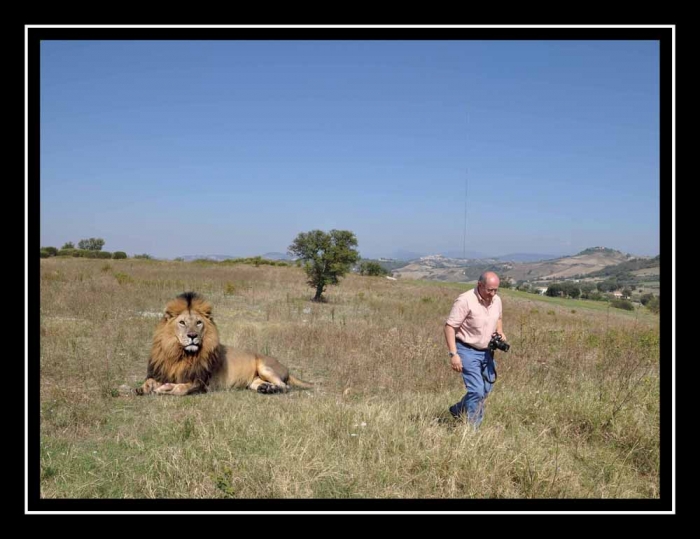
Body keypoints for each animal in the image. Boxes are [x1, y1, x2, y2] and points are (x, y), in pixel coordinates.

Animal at [135, 292, 314, 396]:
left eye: (199, 323)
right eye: (182, 322)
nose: (192, 336)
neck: (180, 354)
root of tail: (284, 367)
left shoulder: (201, 383)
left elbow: (180, 389)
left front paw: (164, 389)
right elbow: (149, 382)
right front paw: (142, 388)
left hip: (265, 367)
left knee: (286, 386)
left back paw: (273, 389)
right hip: (254, 380)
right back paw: (266, 388)